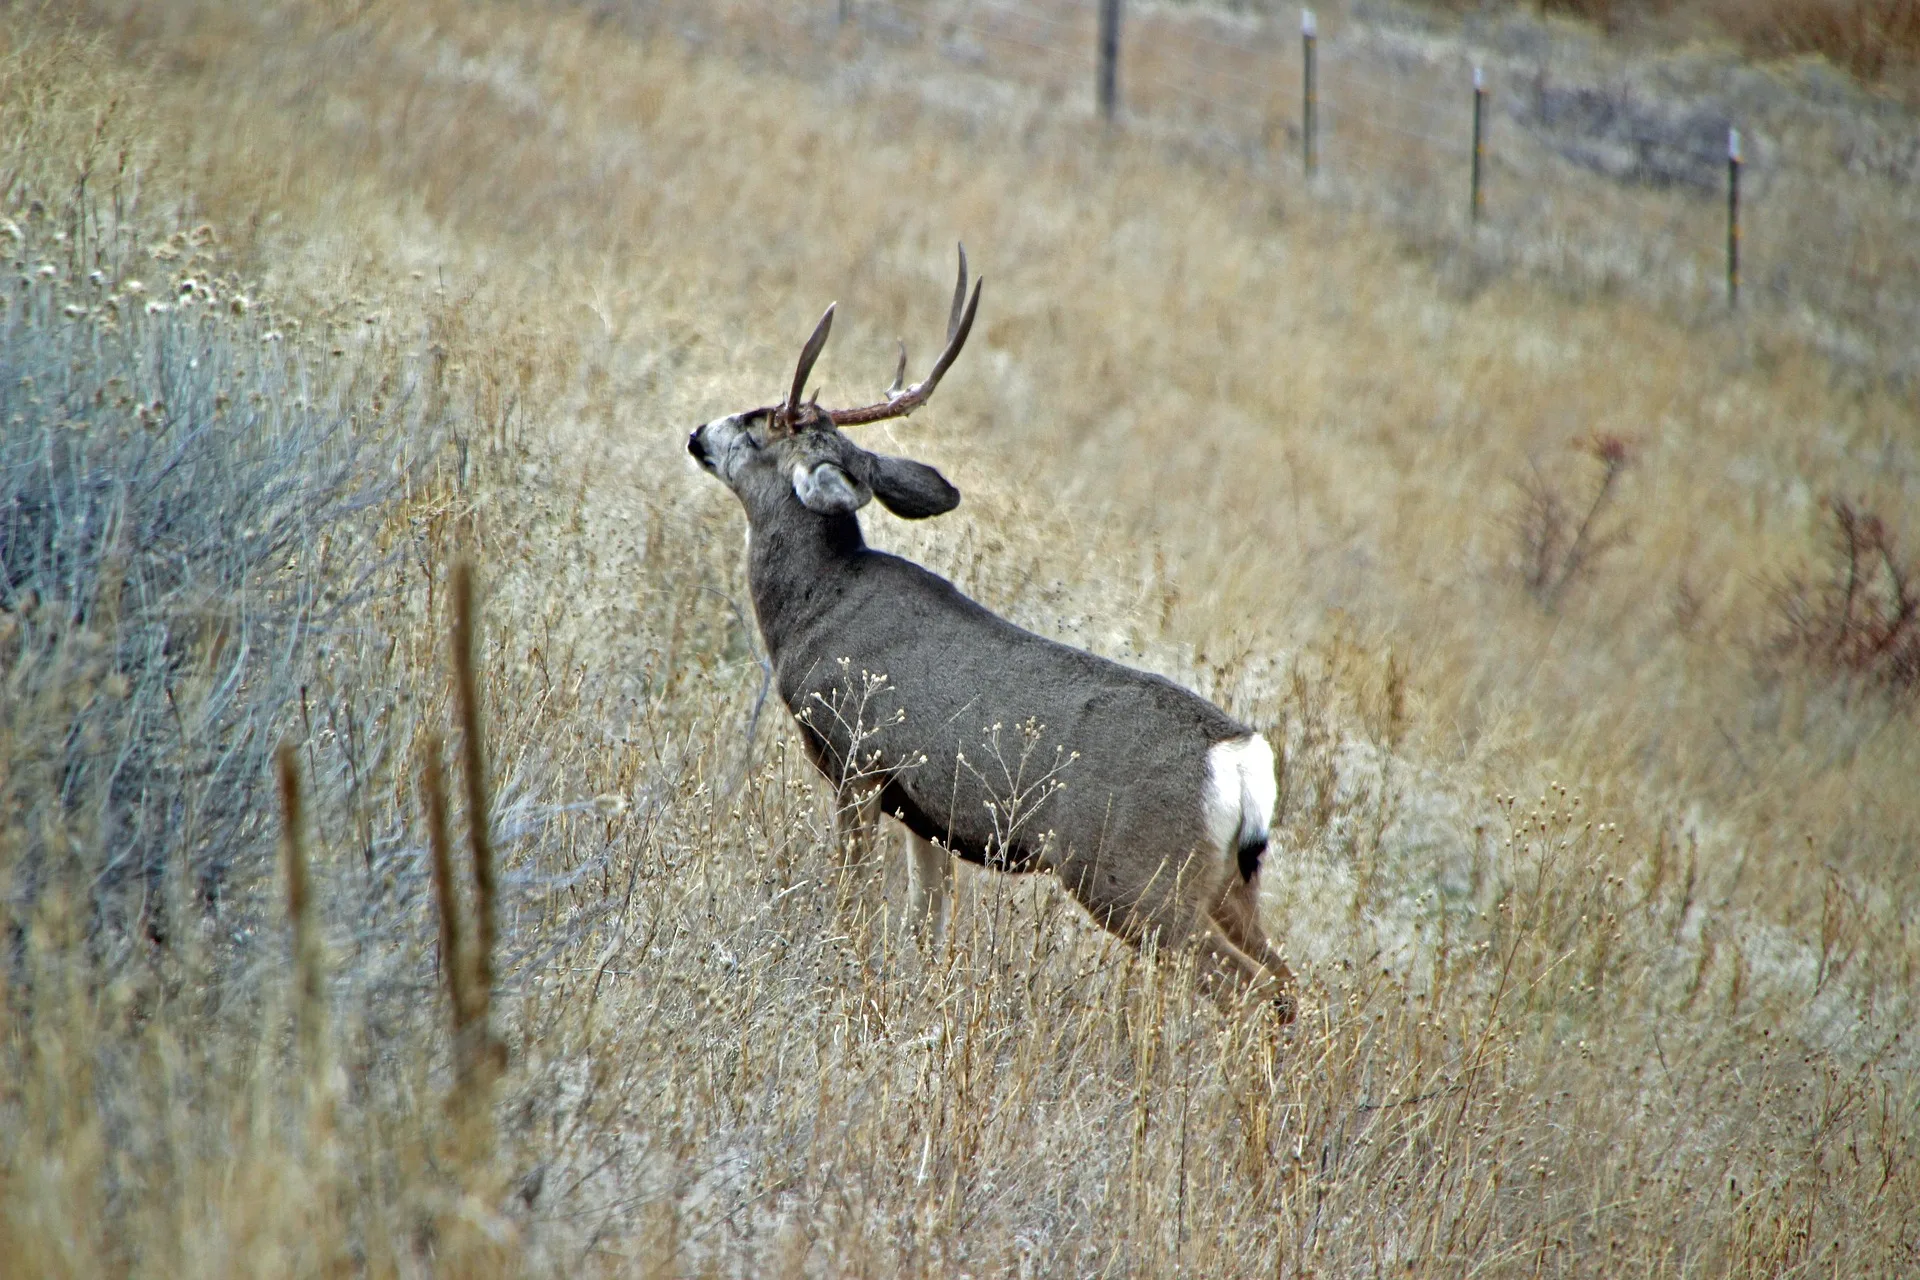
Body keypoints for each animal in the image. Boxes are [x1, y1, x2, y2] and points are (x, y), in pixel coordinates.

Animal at [687, 247, 1295, 1018]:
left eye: (758, 422)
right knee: (1291, 984)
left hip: (1134, 875)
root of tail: (1242, 758)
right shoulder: (923, 811)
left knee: (1250, 989)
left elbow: (855, 900)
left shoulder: (858, 760)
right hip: (1227, 881)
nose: (697, 434)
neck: (817, 604)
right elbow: (926, 924)